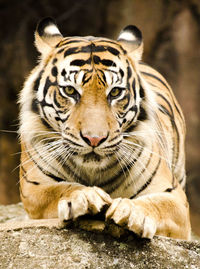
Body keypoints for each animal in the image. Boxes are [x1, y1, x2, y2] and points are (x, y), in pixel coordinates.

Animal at [18, 17, 191, 239]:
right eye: (70, 91)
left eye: (115, 92)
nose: (94, 139)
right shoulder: (33, 188)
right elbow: (58, 190)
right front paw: (83, 197)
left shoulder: (175, 197)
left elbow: (157, 204)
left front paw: (132, 211)